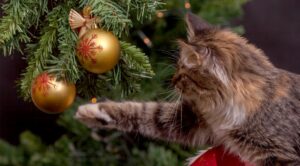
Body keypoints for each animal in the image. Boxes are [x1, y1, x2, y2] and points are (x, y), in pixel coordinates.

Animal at [75, 12, 300, 165]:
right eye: (177, 68)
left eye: (183, 73)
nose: (172, 80)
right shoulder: (194, 120)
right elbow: (141, 111)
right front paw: (92, 111)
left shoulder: (281, 155)